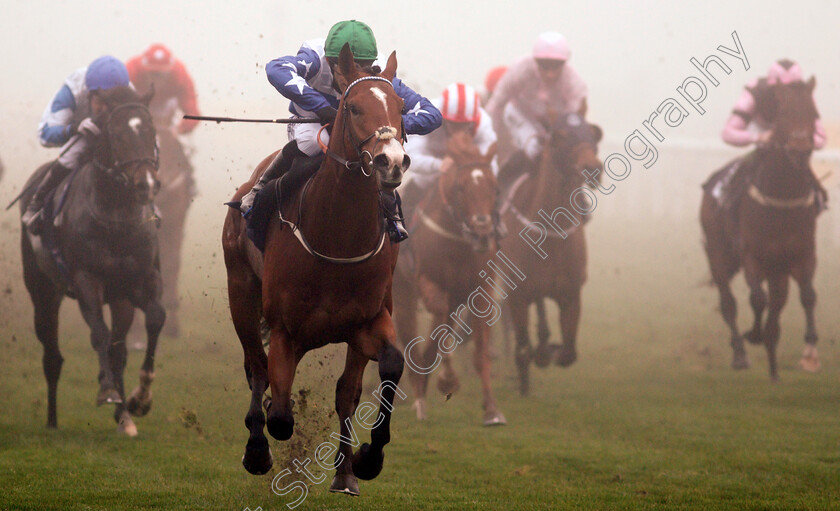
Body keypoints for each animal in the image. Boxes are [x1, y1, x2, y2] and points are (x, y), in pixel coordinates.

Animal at [19, 87, 165, 436]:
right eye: (117, 134)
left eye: (151, 131)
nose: (146, 185)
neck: (117, 219)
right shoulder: (87, 280)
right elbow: (98, 332)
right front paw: (108, 390)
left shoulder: (141, 280)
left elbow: (155, 318)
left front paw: (140, 399)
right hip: (43, 293)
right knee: (52, 354)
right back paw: (53, 419)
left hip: (120, 300)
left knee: (118, 350)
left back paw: (124, 417)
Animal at [221, 44, 408, 496]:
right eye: (353, 107)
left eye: (400, 107)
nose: (392, 162)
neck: (336, 236)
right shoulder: (285, 330)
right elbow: (281, 415)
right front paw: (264, 439)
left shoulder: (368, 321)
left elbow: (386, 368)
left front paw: (366, 459)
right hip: (241, 293)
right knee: (256, 365)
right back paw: (257, 449)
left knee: (346, 390)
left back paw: (344, 473)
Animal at [390, 130, 502, 426]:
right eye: (461, 188)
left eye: (494, 187)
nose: (483, 232)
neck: (457, 240)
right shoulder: (428, 283)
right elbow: (438, 331)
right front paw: (448, 379)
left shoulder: (481, 290)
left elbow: (479, 351)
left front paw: (492, 409)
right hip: (403, 292)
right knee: (409, 336)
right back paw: (419, 397)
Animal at [498, 113, 604, 396]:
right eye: (561, 136)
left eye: (592, 135)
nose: (592, 169)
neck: (550, 235)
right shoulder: (517, 294)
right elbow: (523, 348)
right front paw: (529, 371)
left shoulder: (571, 294)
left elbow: (568, 354)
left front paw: (549, 351)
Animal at [700, 78, 824, 382]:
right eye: (782, 115)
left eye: (814, 115)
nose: (800, 150)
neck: (782, 197)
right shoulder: (752, 255)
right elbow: (757, 299)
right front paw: (754, 335)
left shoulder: (803, 255)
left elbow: (807, 295)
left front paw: (810, 349)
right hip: (718, 254)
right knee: (728, 302)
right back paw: (740, 353)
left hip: (777, 270)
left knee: (778, 303)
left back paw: (773, 367)